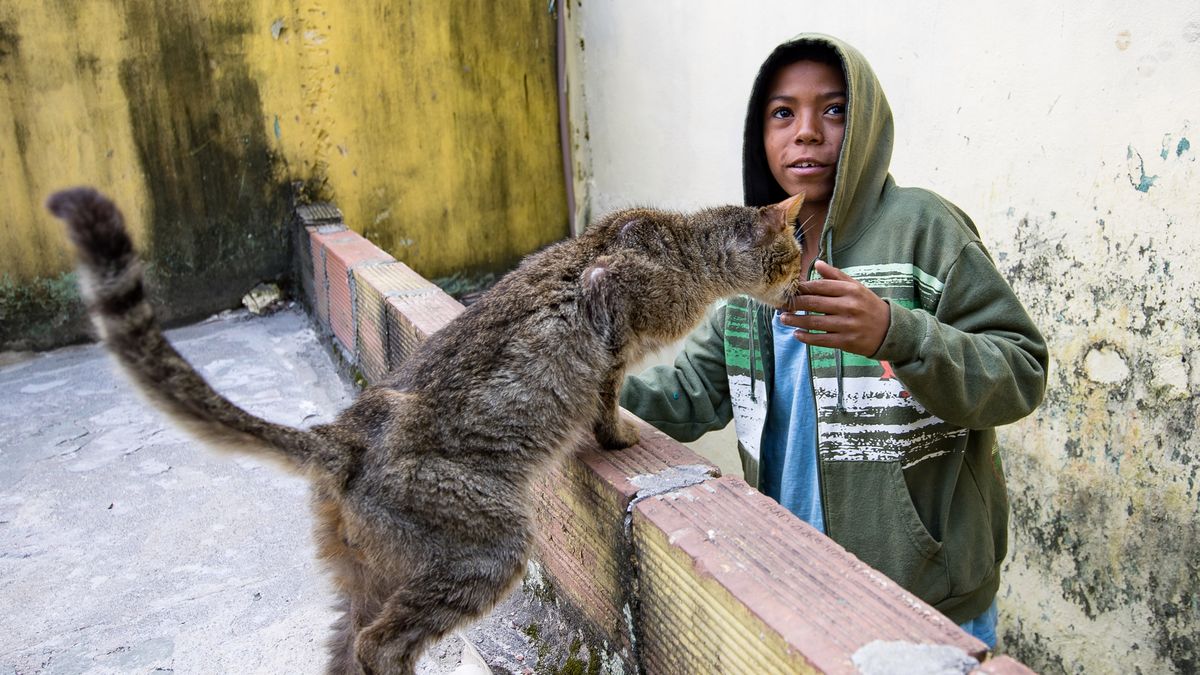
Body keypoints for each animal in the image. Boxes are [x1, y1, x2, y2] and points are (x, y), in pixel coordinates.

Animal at [46, 184, 806, 672]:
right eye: (793, 256)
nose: (801, 286)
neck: (685, 249)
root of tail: (343, 435)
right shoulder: (608, 297)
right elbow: (604, 395)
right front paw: (620, 436)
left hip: (366, 577)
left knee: (348, 650)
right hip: (489, 547)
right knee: (379, 647)